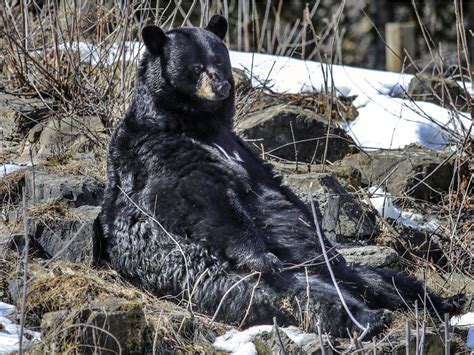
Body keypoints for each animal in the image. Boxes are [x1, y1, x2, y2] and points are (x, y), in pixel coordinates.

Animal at [98, 16, 464, 340]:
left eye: (219, 60)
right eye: (196, 67)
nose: (221, 85)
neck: (196, 124)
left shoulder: (244, 150)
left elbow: (281, 192)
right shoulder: (157, 151)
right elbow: (199, 196)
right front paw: (262, 255)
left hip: (343, 271)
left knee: (383, 279)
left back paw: (446, 301)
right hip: (226, 278)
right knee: (304, 297)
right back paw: (368, 319)